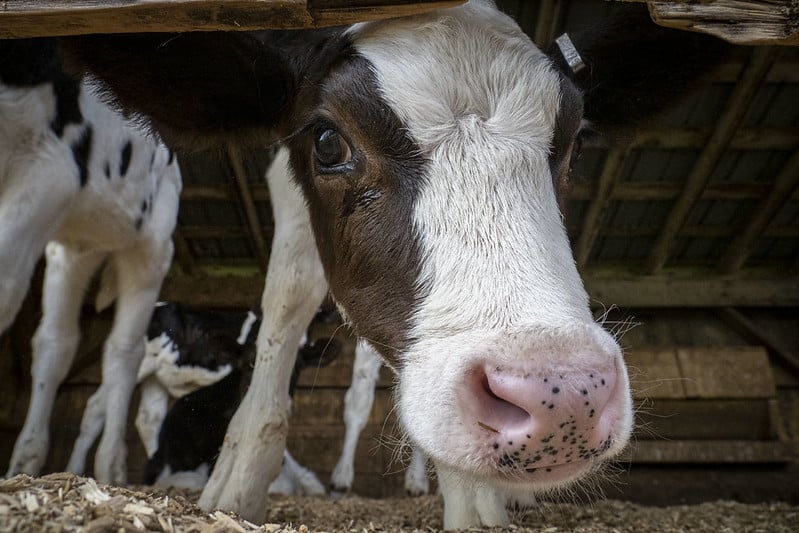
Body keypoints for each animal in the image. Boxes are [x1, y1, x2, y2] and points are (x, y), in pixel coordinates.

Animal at [1, 38, 181, 485]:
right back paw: (25, 462)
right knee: (56, 342)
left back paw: (111, 467)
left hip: (152, 244)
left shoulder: (51, 167)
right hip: (74, 247)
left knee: (122, 351)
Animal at [59, 0, 729, 527]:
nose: (560, 399)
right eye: (329, 142)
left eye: (576, 146)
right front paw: (238, 482)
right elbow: (287, 301)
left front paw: (473, 503)